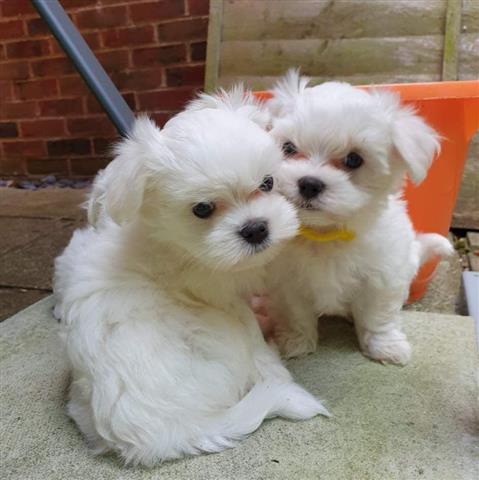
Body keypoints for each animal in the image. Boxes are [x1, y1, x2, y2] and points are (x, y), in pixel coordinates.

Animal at [53, 88, 330, 466]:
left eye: (268, 183)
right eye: (202, 209)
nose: (256, 228)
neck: (174, 241)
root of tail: (162, 435)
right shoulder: (223, 298)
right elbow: (250, 329)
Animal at [266, 70, 454, 364]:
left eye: (354, 159)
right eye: (288, 148)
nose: (309, 183)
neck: (324, 234)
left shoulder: (383, 277)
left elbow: (378, 315)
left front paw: (385, 346)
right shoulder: (286, 282)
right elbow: (296, 313)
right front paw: (296, 342)